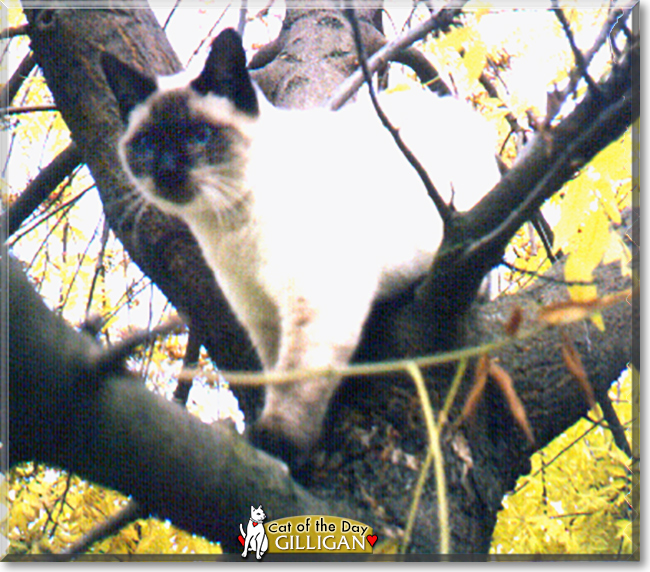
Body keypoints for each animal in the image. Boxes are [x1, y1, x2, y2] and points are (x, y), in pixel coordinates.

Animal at [101, 25, 498, 464]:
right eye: (146, 145)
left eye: (199, 136)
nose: (168, 171)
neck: (228, 228)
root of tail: (459, 115)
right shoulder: (261, 315)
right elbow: (275, 370)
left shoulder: (315, 298)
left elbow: (297, 378)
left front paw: (279, 443)